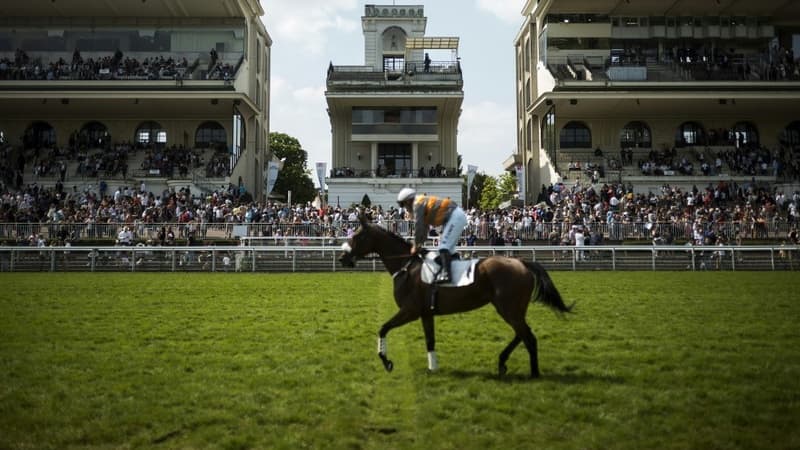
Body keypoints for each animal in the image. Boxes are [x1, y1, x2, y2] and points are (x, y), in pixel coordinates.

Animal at [340, 213, 572, 378]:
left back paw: (534, 373)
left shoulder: (410, 310)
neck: (407, 266)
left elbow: (383, 328)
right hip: (512, 308)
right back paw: (503, 361)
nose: (343, 258)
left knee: (528, 336)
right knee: (522, 333)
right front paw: (432, 368)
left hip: (508, 308)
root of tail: (522, 263)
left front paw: (386, 361)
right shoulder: (426, 313)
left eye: (357, 236)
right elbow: (430, 341)